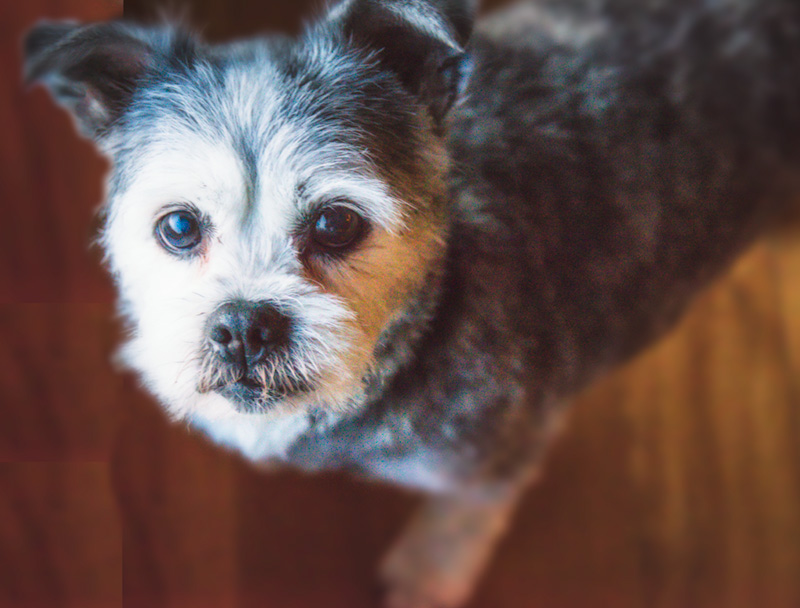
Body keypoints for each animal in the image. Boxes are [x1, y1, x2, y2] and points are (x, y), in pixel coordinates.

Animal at [24, 0, 800, 606]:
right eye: (179, 226)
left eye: (336, 223)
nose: (244, 326)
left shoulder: (494, 459)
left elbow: (457, 522)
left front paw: (426, 576)